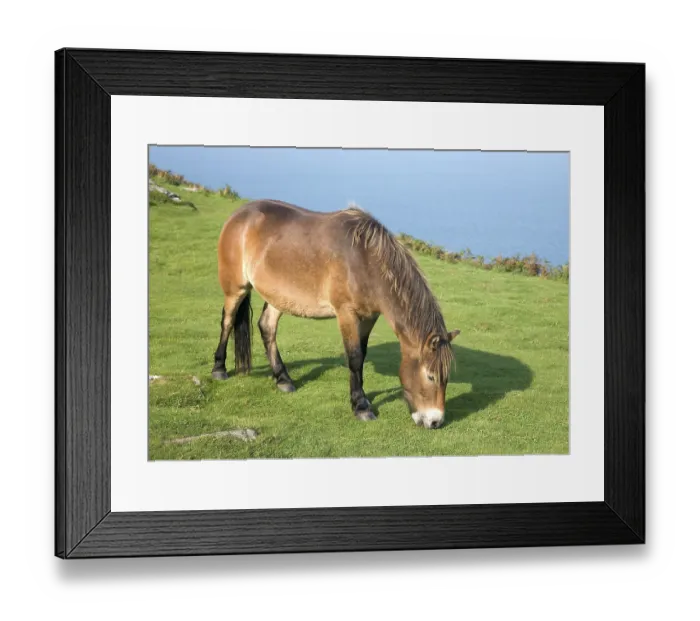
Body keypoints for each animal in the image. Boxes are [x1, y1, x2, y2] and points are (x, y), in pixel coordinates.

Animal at [211, 200, 460, 429]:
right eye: (430, 376)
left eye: (447, 376)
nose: (435, 421)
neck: (364, 259)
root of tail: (240, 214)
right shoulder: (346, 313)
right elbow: (355, 357)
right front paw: (361, 406)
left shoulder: (369, 317)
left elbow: (362, 355)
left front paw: (361, 398)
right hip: (236, 288)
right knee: (227, 321)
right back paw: (219, 369)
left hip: (277, 296)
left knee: (267, 327)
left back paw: (283, 379)